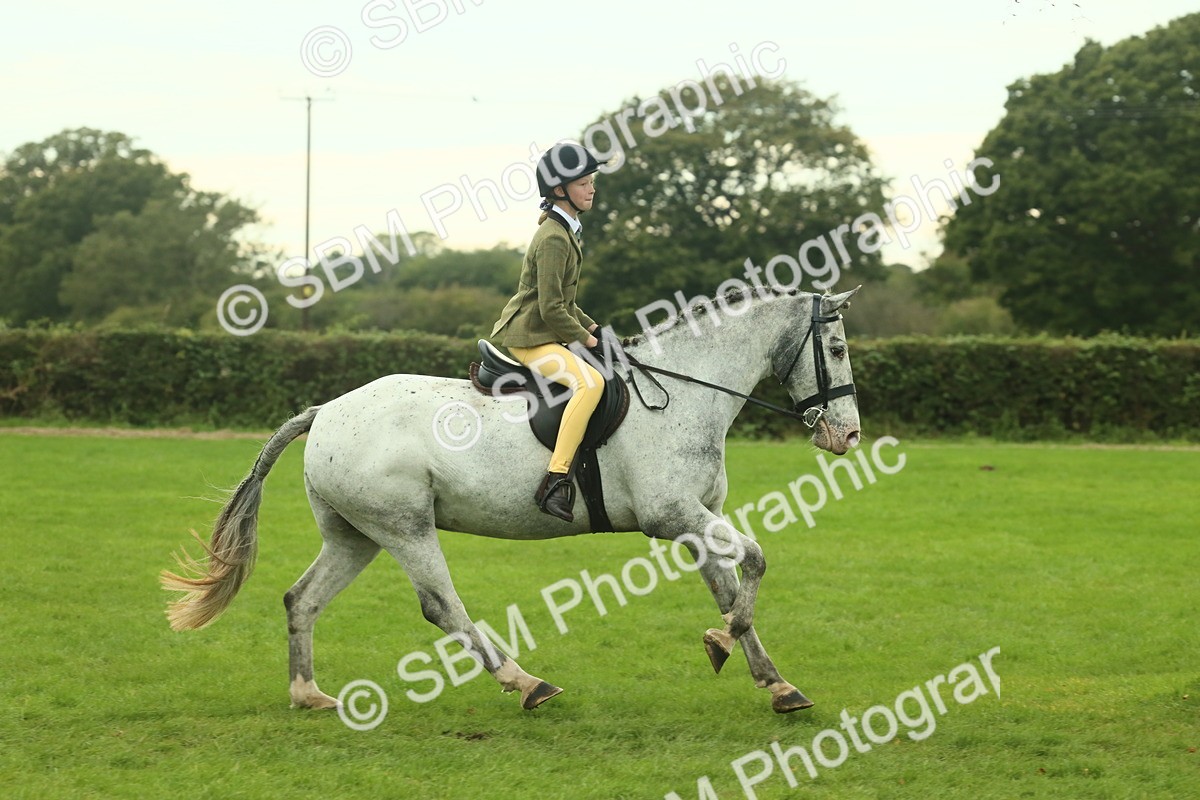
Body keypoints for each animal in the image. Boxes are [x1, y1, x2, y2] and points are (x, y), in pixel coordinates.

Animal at [161, 285, 862, 714]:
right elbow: (757, 560)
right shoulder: (674, 516)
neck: (686, 392)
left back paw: (309, 695)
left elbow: (729, 585)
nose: (848, 436)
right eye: (835, 347)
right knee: (442, 606)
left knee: (302, 599)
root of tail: (325, 411)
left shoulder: (696, 522)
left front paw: (774, 682)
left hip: (356, 535)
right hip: (405, 527)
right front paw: (723, 642)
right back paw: (525, 683)